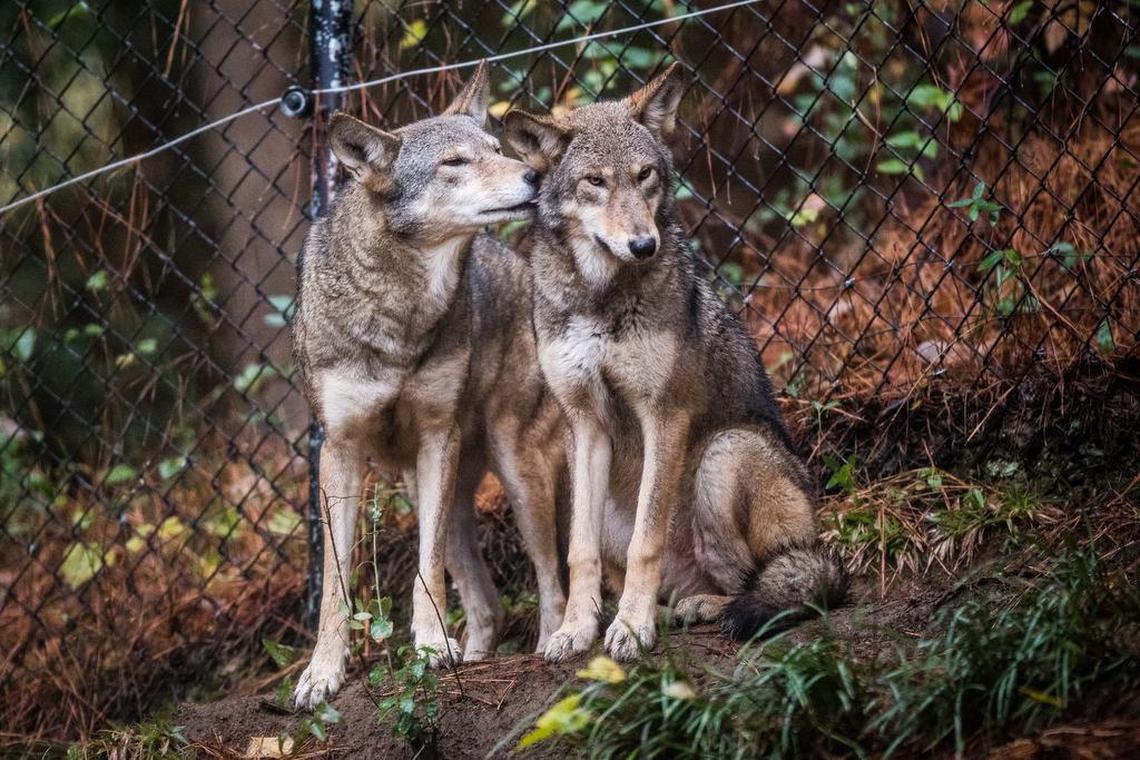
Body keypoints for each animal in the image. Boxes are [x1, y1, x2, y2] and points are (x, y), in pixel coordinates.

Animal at [291, 62, 567, 709]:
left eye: (495, 147)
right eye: (455, 163)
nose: (535, 174)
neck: (403, 310)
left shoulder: (436, 438)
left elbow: (425, 568)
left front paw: (430, 648)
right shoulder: (340, 452)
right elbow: (336, 585)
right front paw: (321, 673)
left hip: (516, 470)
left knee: (551, 577)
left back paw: (553, 644)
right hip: (438, 489)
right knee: (488, 604)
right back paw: (479, 654)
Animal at [503, 63, 848, 663]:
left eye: (644, 175)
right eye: (595, 182)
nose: (644, 244)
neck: (602, 297)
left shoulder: (664, 414)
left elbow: (649, 539)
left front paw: (632, 629)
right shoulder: (584, 422)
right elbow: (579, 553)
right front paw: (576, 629)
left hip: (726, 453)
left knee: (756, 580)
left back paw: (698, 607)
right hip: (583, 489)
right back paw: (656, 612)